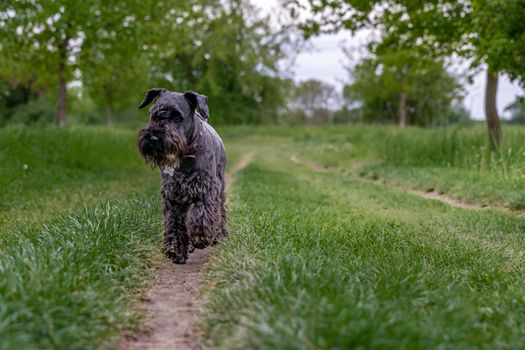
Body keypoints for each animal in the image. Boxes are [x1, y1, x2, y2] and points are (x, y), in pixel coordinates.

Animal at [136, 89, 226, 264]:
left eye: (177, 117)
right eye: (153, 114)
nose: (154, 138)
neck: (185, 156)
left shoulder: (207, 187)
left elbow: (202, 214)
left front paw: (200, 236)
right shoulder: (172, 194)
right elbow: (174, 223)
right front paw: (175, 249)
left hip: (220, 186)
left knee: (221, 209)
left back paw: (220, 235)